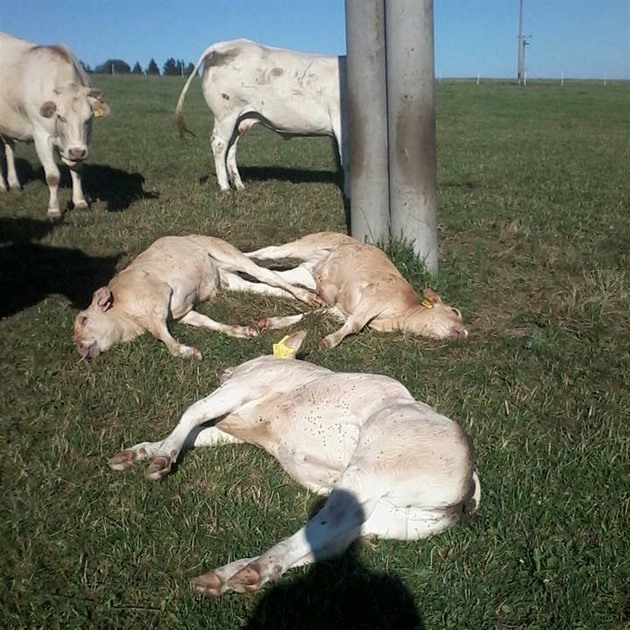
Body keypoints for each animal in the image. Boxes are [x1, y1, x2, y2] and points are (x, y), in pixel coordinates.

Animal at [0, 32, 110, 220]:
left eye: (88, 119)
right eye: (61, 117)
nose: (77, 152)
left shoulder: (81, 142)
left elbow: (76, 170)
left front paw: (80, 202)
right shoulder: (41, 136)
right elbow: (52, 176)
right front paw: (54, 210)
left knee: (8, 150)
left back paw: (14, 184)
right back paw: (2, 186)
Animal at [110, 330, 484, 596]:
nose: (223, 370)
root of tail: (470, 486)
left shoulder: (243, 387)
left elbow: (194, 412)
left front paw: (161, 460)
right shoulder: (236, 427)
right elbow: (197, 434)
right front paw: (139, 453)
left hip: (370, 469)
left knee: (328, 522)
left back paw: (252, 570)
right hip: (387, 518)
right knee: (324, 541)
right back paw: (227, 576)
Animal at [175, 38, 348, 196]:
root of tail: (225, 44)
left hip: (238, 119)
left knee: (231, 148)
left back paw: (239, 185)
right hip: (226, 114)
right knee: (219, 144)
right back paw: (225, 188)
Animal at [247, 232, 470, 350]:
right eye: (455, 311)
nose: (466, 332)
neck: (402, 313)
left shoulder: (340, 309)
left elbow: (309, 314)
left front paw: (270, 322)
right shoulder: (376, 295)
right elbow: (354, 325)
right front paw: (329, 341)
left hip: (304, 273)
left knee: (273, 274)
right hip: (308, 244)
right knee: (269, 251)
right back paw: (241, 255)